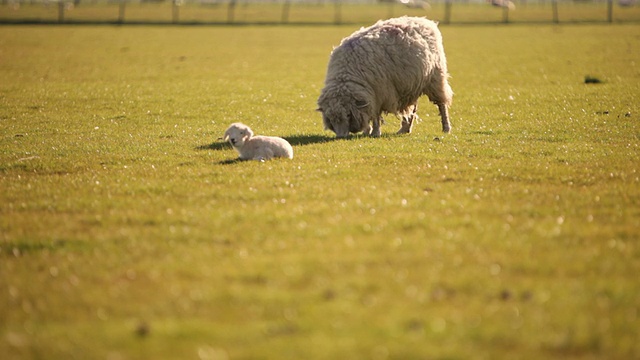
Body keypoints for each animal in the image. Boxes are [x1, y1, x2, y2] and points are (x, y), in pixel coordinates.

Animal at [318, 15, 452, 138]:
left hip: (436, 77)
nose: (341, 137)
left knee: (442, 105)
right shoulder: (370, 95)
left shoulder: (378, 93)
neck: (345, 77)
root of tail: (425, 21)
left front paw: (375, 132)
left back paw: (446, 128)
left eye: (348, 115)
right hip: (412, 84)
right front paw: (367, 131)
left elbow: (375, 115)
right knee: (413, 108)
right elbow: (369, 114)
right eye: (330, 118)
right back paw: (404, 129)